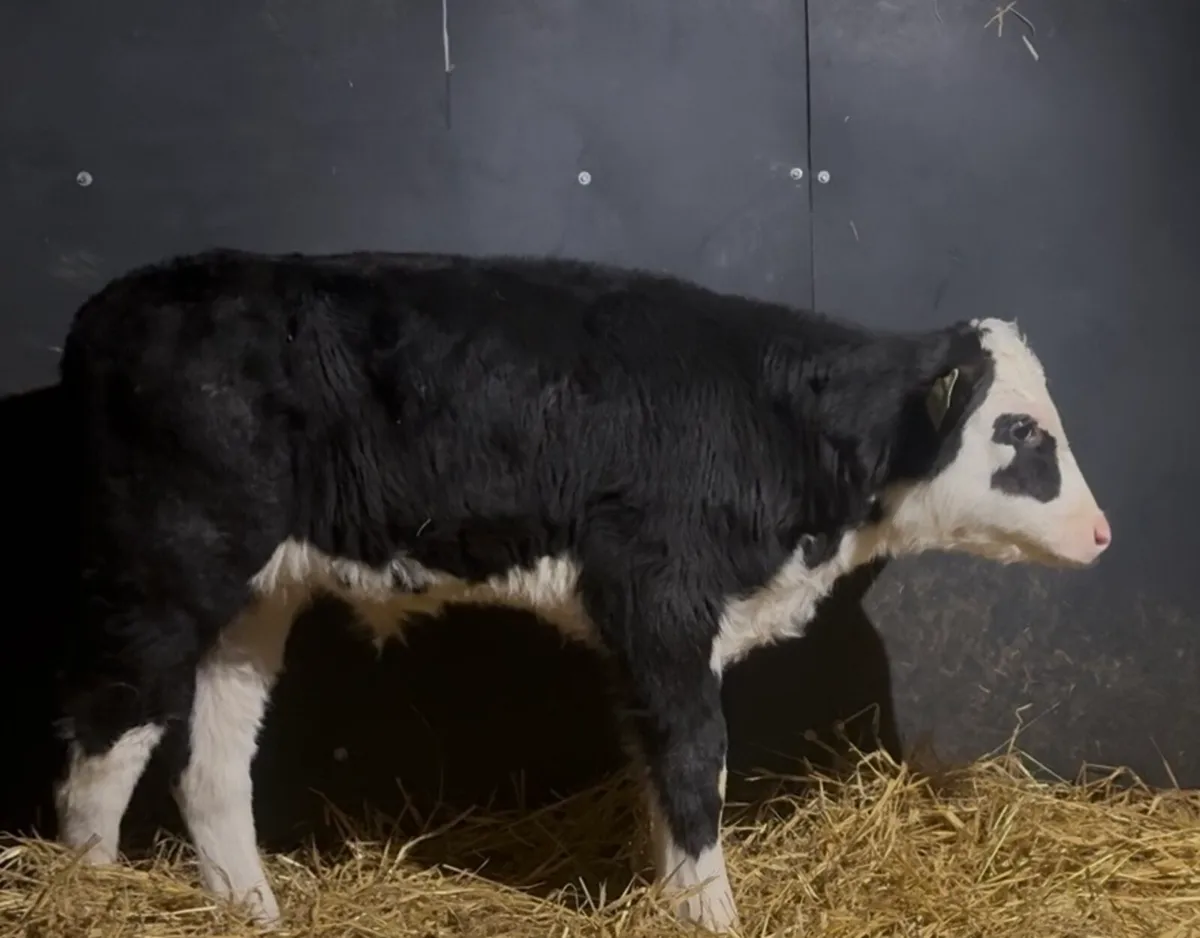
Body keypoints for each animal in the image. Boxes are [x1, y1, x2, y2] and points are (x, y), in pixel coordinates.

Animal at [52, 249, 1110, 933]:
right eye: (1020, 431)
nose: (1102, 533)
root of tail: (116, 304)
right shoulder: (663, 605)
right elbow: (692, 765)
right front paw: (713, 917)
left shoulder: (642, 634)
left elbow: (659, 776)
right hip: (167, 573)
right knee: (105, 739)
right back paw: (87, 899)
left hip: (250, 602)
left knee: (210, 766)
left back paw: (253, 912)